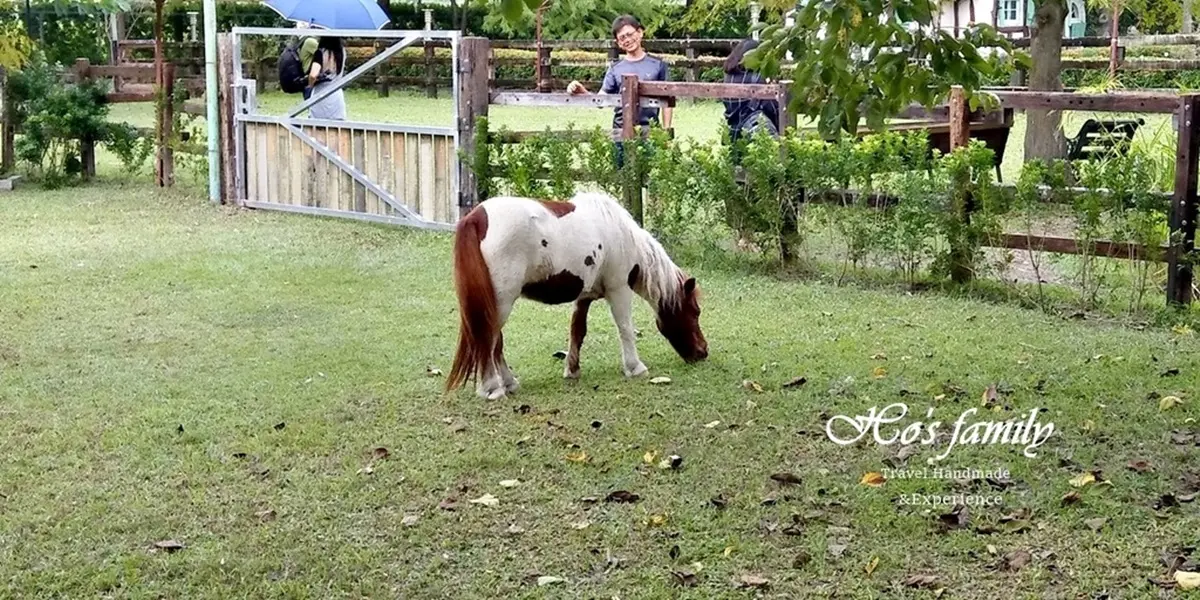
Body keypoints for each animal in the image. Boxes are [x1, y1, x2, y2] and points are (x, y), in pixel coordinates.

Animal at [445, 191, 709, 400]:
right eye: (695, 312)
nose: (703, 352)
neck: (621, 234)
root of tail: (477, 217)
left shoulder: (584, 296)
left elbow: (577, 331)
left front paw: (572, 370)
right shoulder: (619, 289)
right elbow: (625, 328)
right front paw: (635, 367)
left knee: (494, 343)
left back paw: (509, 383)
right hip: (501, 303)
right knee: (489, 342)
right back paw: (493, 388)